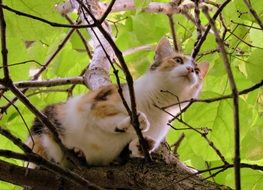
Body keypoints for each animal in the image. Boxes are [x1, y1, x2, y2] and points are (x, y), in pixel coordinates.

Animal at [25, 37, 209, 168]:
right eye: (178, 60)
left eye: (197, 71)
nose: (191, 70)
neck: (155, 105)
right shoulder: (100, 103)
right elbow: (106, 117)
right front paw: (135, 120)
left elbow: (131, 149)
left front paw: (143, 144)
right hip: (45, 122)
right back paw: (72, 151)